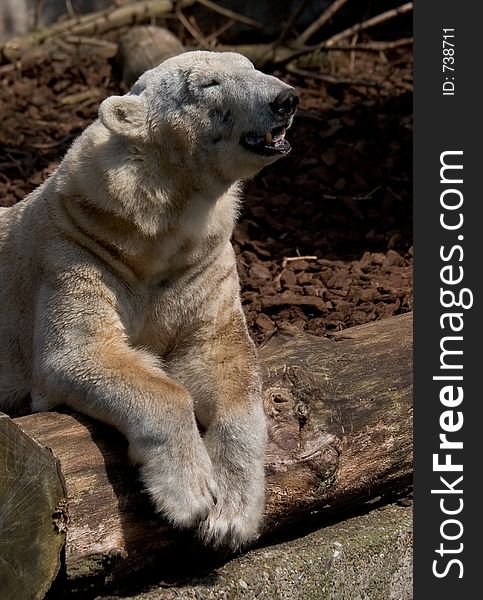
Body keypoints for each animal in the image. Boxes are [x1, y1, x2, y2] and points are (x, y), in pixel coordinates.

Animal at [0, 50, 298, 548]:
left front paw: (232, 514)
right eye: (208, 84)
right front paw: (191, 496)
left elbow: (222, 358)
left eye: (251, 65)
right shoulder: (75, 252)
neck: (153, 235)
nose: (285, 99)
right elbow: (82, 352)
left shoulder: (202, 263)